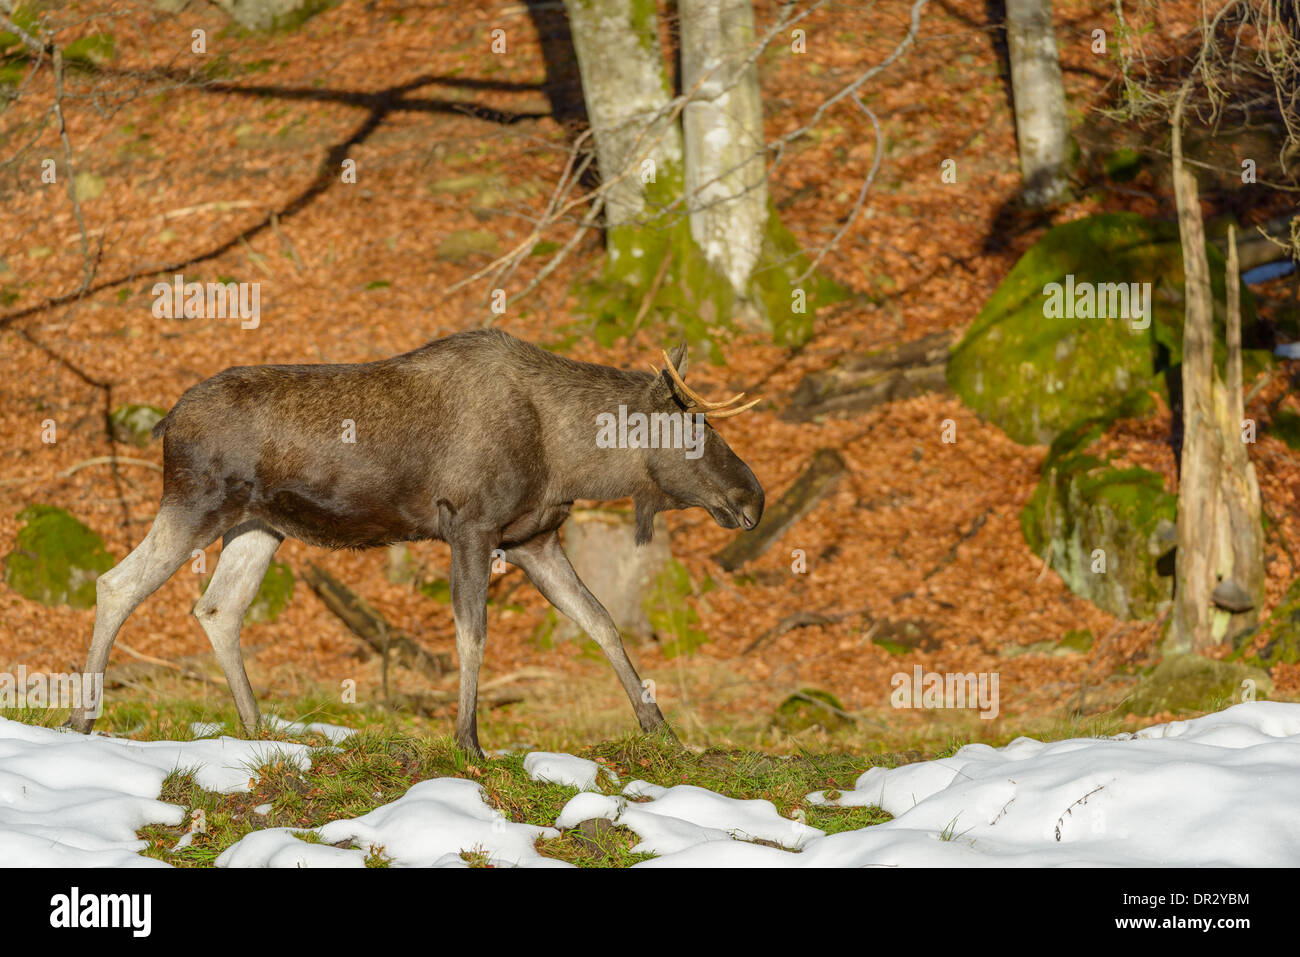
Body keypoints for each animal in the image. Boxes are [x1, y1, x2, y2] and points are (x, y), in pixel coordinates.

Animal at [68, 328, 759, 754]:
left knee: (218, 608)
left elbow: (602, 623)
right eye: (691, 430)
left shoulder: (535, 540)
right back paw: (83, 717)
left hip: (258, 526)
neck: (569, 462)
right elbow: (471, 635)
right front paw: (469, 742)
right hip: (196, 503)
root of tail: (166, 421)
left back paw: (257, 728)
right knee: (116, 583)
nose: (752, 497)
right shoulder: (472, 527)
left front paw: (660, 730)